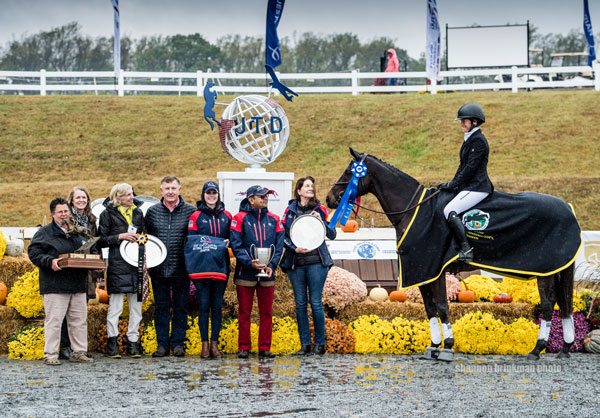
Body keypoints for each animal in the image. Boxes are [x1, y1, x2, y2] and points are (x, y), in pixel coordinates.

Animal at [330, 149, 580, 360]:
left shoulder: (433, 268)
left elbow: (442, 306)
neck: (415, 209)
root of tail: (567, 208)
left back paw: (537, 349)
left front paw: (448, 347)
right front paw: (433, 347)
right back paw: (565, 348)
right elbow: (430, 309)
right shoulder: (422, 270)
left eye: (349, 171)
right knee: (562, 303)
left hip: (546, 270)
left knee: (548, 304)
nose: (331, 198)